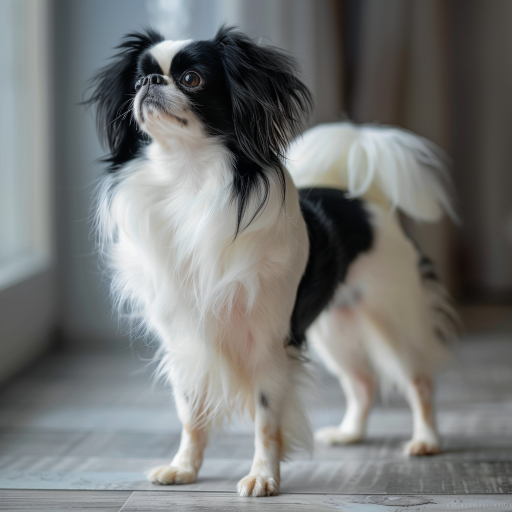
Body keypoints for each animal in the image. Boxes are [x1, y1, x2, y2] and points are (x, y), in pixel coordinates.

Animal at [87, 26, 457, 497]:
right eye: (136, 82)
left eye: (191, 79)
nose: (150, 84)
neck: (189, 180)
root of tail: (364, 200)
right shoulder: (186, 341)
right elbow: (191, 413)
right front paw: (184, 468)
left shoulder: (266, 343)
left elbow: (266, 418)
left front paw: (263, 477)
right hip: (335, 329)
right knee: (363, 383)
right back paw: (350, 433)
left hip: (392, 319)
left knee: (418, 380)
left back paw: (426, 440)